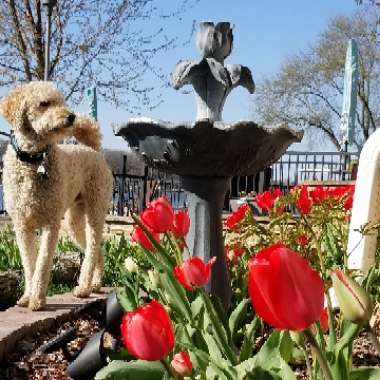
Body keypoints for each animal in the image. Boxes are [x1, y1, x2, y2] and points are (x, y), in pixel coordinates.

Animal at [0, 81, 113, 310]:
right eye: (44, 103)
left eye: (62, 101)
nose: (71, 117)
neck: (33, 159)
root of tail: (93, 150)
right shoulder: (22, 226)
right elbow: (29, 264)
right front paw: (27, 296)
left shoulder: (50, 224)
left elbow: (42, 263)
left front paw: (37, 299)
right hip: (73, 221)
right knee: (96, 250)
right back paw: (95, 284)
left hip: (96, 210)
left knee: (93, 248)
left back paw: (84, 287)